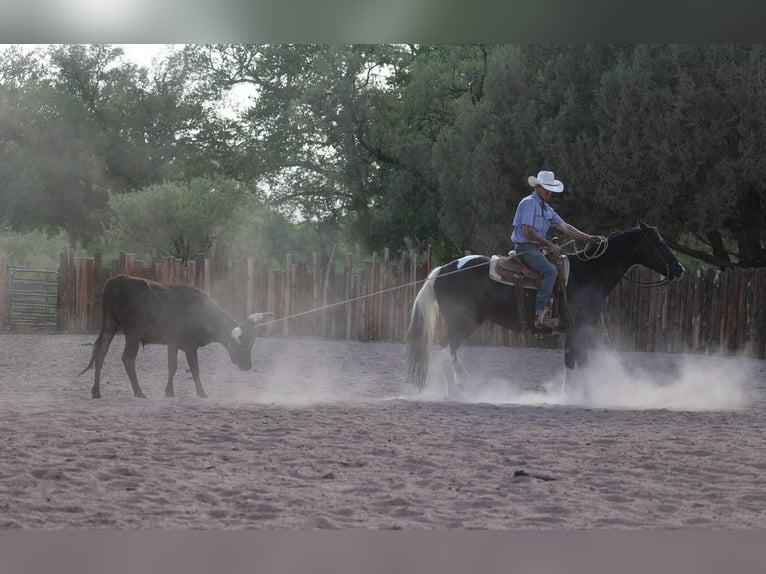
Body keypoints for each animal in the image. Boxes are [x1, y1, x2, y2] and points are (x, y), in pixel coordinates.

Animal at [405, 222, 685, 398]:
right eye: (659, 243)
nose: (680, 268)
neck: (587, 275)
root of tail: (443, 270)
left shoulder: (574, 331)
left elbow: (571, 361)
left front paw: (569, 394)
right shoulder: (578, 328)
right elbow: (581, 361)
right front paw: (587, 395)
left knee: (451, 351)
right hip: (462, 321)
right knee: (446, 350)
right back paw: (456, 391)